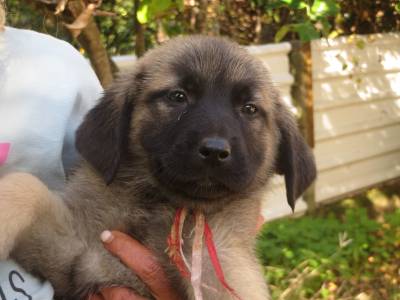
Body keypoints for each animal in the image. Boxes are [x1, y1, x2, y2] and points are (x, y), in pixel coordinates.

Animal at [0, 36, 318, 298]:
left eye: (250, 108)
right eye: (178, 96)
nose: (215, 151)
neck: (156, 205)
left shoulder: (220, 260)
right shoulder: (77, 250)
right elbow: (26, 187)